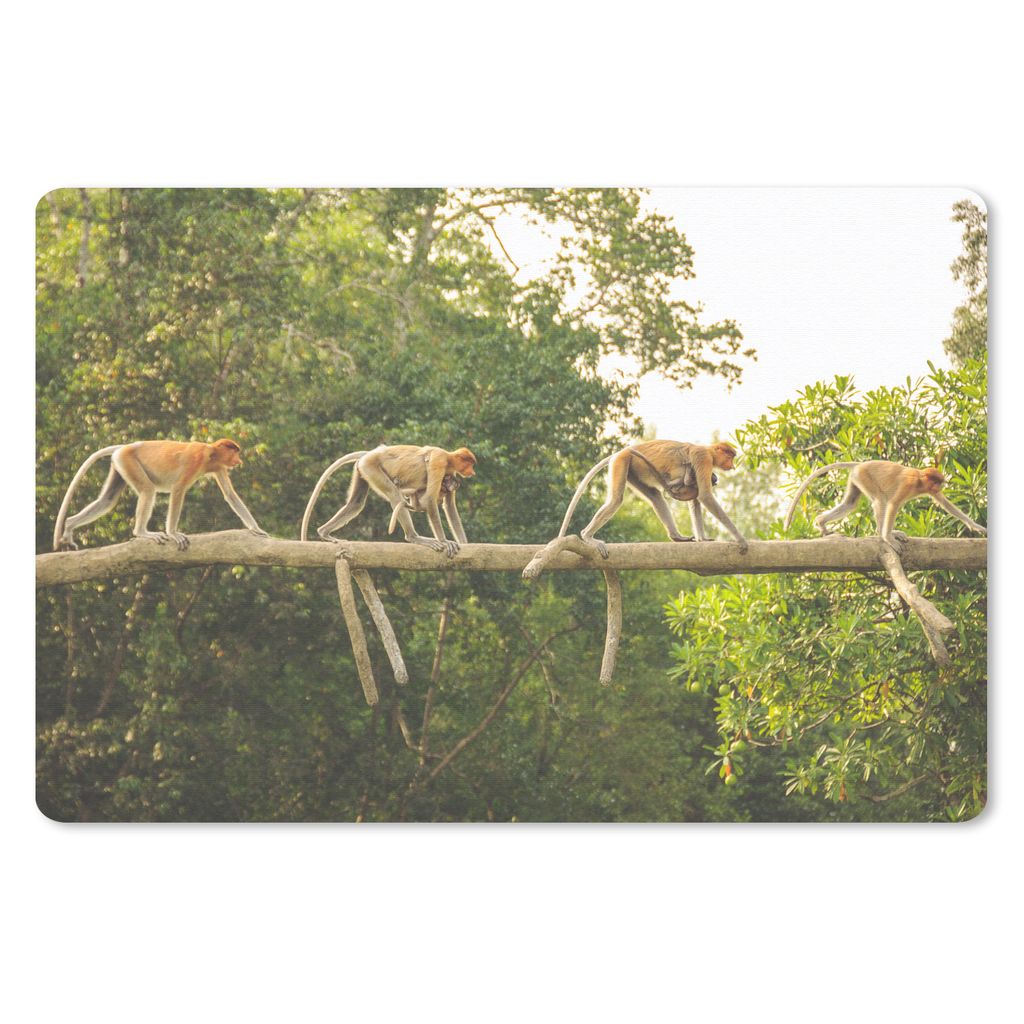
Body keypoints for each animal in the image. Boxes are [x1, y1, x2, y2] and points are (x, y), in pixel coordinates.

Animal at [53, 438, 269, 551]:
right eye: (235, 453)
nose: (239, 461)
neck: (212, 454)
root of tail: (124, 446)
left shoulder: (219, 467)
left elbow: (230, 495)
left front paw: (257, 529)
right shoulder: (196, 460)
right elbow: (178, 489)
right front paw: (173, 533)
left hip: (120, 464)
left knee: (107, 499)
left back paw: (69, 525)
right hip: (128, 461)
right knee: (148, 491)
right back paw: (142, 532)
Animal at [300, 444, 476, 558]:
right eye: (470, 463)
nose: (473, 472)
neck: (449, 458)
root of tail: (369, 454)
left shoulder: (451, 473)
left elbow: (450, 505)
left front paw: (465, 543)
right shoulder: (439, 461)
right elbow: (430, 500)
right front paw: (445, 542)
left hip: (362, 469)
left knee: (356, 502)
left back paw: (324, 532)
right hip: (371, 467)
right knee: (394, 494)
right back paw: (414, 537)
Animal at [558, 439, 748, 557]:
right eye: (729, 456)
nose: (732, 465)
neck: (708, 450)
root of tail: (622, 451)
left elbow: (695, 500)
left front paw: (702, 539)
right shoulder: (703, 459)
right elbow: (705, 496)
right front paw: (741, 540)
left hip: (634, 470)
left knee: (655, 496)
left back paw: (676, 537)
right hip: (622, 461)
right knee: (616, 500)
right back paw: (587, 536)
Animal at [783, 460, 987, 551]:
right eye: (936, 481)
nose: (940, 485)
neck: (920, 480)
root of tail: (859, 464)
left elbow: (945, 503)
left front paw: (976, 527)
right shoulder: (907, 485)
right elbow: (893, 503)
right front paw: (888, 538)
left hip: (856, 480)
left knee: (850, 503)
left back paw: (821, 523)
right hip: (865, 477)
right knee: (880, 500)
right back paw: (882, 535)